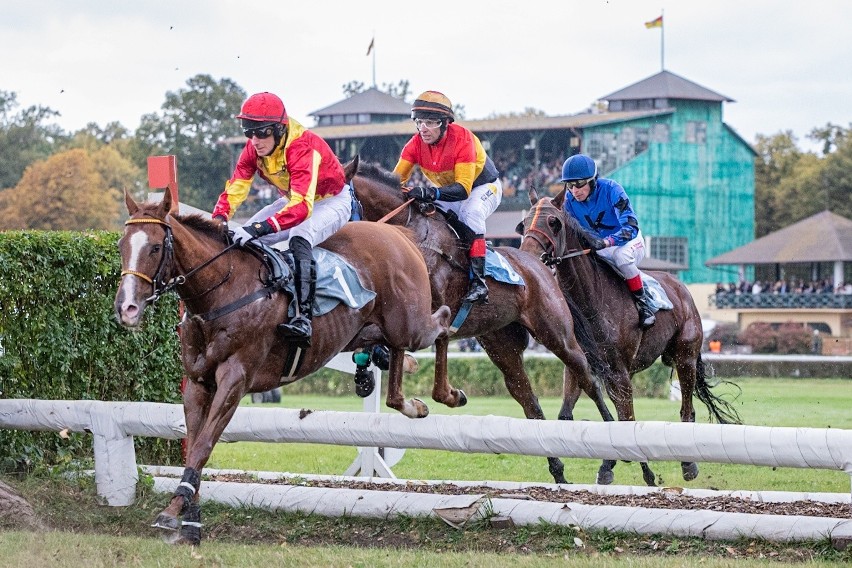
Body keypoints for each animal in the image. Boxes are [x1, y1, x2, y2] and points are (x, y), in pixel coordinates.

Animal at [113, 189, 452, 544]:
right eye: (122, 245)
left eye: (154, 247)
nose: (127, 308)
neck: (222, 292)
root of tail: (398, 233)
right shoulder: (197, 382)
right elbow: (194, 444)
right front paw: (191, 521)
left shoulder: (235, 378)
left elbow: (204, 444)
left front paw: (172, 511)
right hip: (381, 327)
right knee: (399, 350)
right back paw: (409, 401)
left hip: (412, 324)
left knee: (444, 322)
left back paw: (448, 393)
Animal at [344, 158, 620, 486]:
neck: (410, 234)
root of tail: (541, 266)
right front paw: (372, 372)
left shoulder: (434, 313)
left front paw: (445, 393)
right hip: (503, 348)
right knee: (530, 402)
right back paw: (559, 473)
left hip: (558, 334)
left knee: (589, 379)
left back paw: (613, 453)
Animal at [520, 186, 740, 484]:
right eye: (523, 223)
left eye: (554, 223)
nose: (528, 255)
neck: (590, 301)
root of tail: (681, 288)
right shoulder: (580, 365)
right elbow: (568, 415)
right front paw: (604, 466)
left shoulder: (618, 371)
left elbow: (627, 420)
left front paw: (643, 471)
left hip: (685, 357)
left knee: (686, 408)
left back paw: (688, 464)